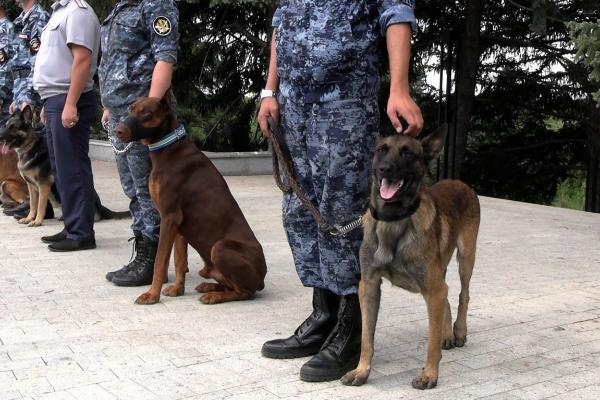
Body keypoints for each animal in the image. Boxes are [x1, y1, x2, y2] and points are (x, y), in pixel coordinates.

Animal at [114, 94, 268, 306]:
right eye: (130, 109)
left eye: (146, 113)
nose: (117, 130)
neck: (168, 148)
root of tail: (262, 277)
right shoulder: (179, 225)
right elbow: (179, 261)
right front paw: (178, 289)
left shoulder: (169, 217)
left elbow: (161, 261)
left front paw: (151, 295)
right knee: (229, 284)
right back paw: (209, 286)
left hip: (220, 247)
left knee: (245, 292)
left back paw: (214, 296)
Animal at [342, 126, 478, 390]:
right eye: (381, 150)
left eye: (407, 153)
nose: (385, 169)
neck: (393, 220)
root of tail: (458, 181)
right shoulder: (369, 286)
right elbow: (366, 338)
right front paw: (361, 371)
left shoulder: (432, 290)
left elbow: (431, 343)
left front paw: (429, 375)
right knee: (448, 298)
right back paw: (447, 334)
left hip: (466, 257)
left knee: (463, 294)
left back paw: (458, 331)